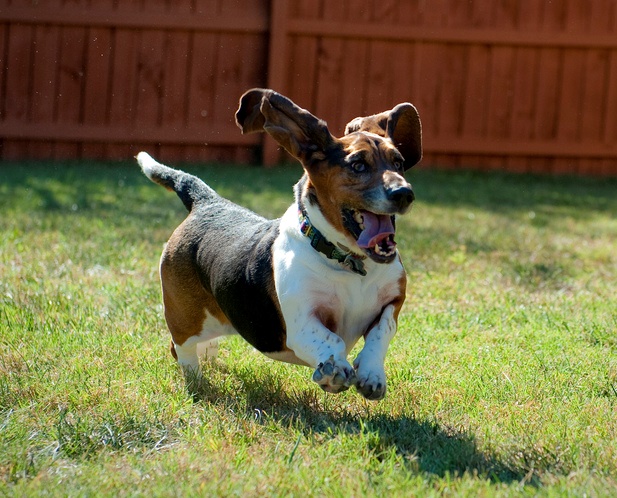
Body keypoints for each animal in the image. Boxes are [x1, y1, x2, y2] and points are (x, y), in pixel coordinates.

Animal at [137, 88, 422, 400]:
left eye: (398, 163)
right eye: (358, 165)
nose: (404, 193)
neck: (351, 263)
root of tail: (206, 201)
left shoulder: (393, 301)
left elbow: (381, 332)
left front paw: (372, 374)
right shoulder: (302, 320)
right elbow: (330, 339)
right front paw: (333, 371)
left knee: (204, 345)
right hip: (185, 318)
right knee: (181, 348)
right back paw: (197, 382)